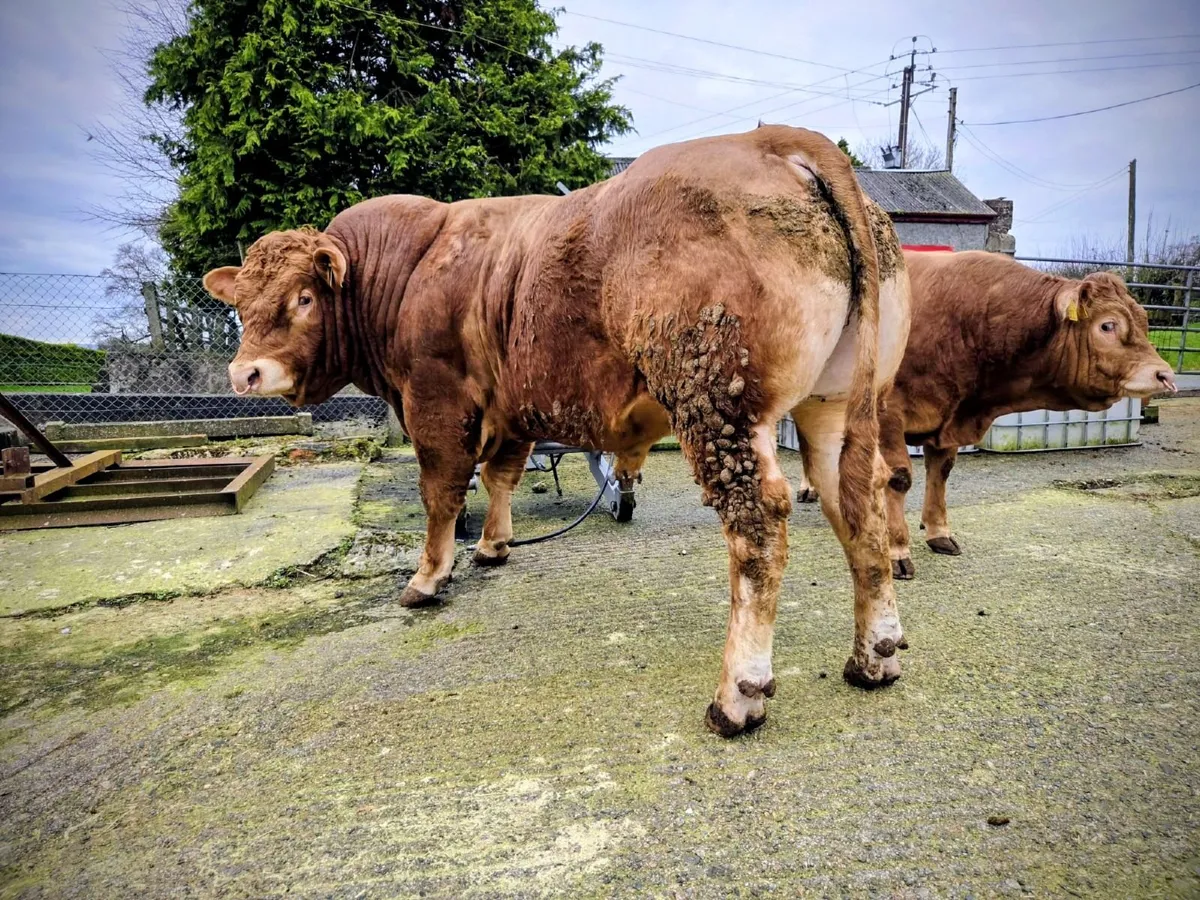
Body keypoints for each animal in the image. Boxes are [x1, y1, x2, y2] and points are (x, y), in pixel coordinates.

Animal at [202, 125, 912, 736]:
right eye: (239, 305)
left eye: (302, 298)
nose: (245, 373)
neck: (410, 268)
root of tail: (777, 141)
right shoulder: (509, 408)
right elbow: (501, 475)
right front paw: (494, 546)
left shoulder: (434, 401)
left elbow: (441, 493)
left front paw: (429, 577)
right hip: (834, 406)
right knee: (860, 497)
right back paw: (875, 654)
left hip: (719, 405)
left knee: (758, 521)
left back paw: (738, 696)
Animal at [794, 249, 1177, 579]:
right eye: (1107, 326)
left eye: (1145, 320)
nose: (1165, 375)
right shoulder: (887, 413)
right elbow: (899, 477)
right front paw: (897, 549)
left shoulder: (950, 416)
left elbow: (941, 471)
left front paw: (938, 532)